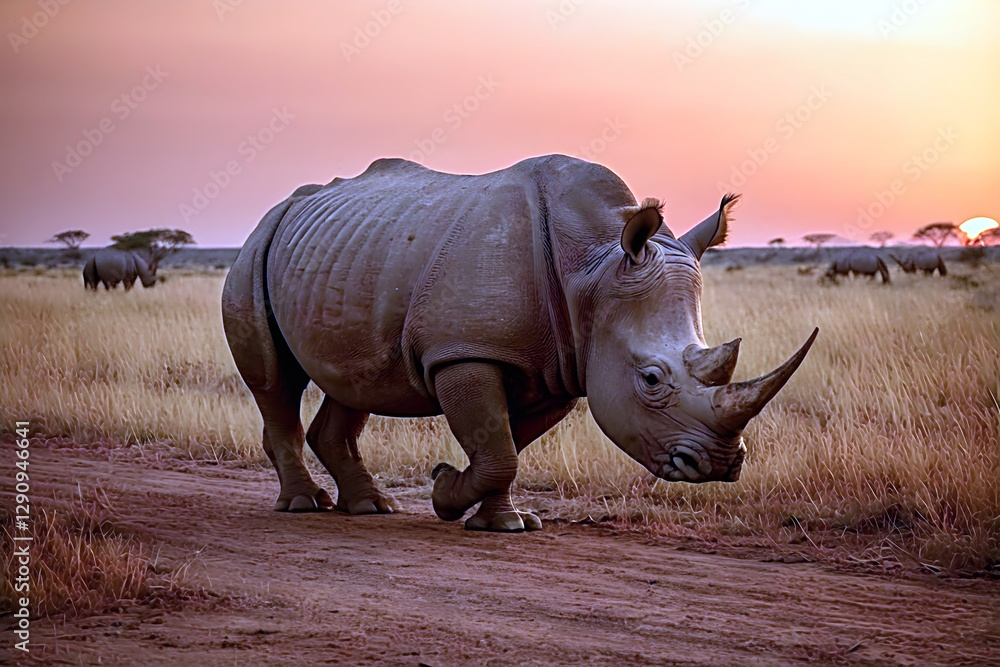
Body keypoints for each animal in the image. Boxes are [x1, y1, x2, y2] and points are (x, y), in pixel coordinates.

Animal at [222, 156, 818, 532]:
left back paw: (372, 508)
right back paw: (304, 506)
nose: (720, 465)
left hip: (351, 256)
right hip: (256, 248)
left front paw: (502, 521)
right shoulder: (465, 352)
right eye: (651, 379)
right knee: (276, 381)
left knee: (354, 384)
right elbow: (499, 450)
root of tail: (285, 205)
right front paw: (446, 494)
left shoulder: (559, 367)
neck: (594, 267)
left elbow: (506, 445)